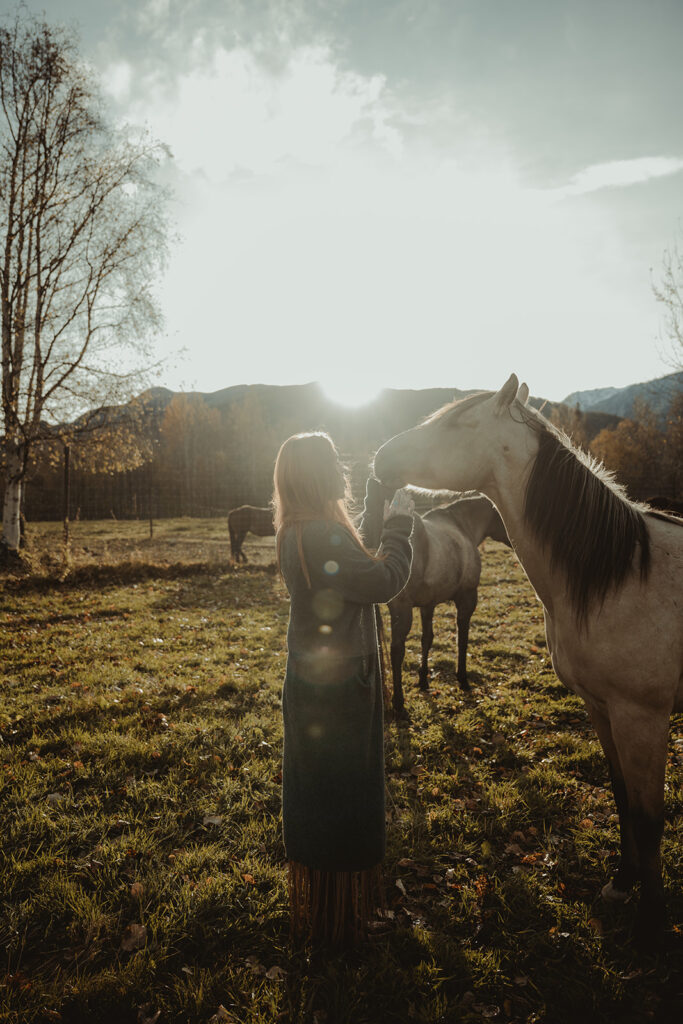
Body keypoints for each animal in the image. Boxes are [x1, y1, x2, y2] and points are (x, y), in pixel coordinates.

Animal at [389, 493, 507, 716]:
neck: (461, 525)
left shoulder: (428, 605)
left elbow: (427, 640)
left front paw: (423, 680)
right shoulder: (467, 599)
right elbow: (462, 639)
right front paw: (462, 678)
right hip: (402, 609)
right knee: (397, 651)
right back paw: (398, 704)